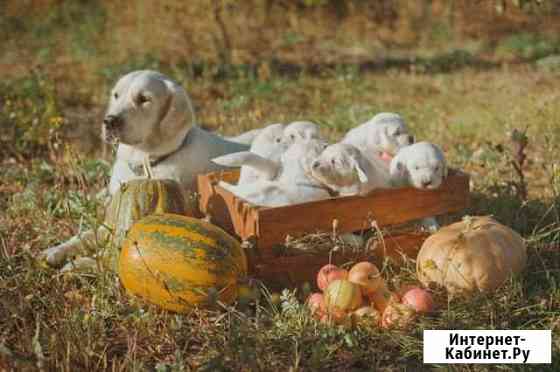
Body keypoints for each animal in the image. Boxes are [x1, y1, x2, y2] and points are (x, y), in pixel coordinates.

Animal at [41, 70, 247, 268]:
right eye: (116, 95)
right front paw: (56, 251)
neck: (145, 163)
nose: (109, 121)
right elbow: (85, 235)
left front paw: (81, 263)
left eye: (144, 99)